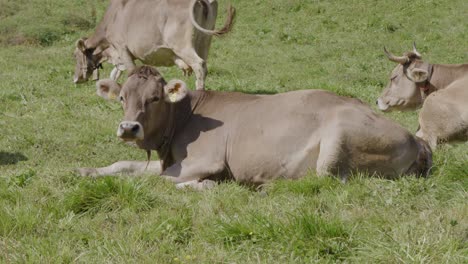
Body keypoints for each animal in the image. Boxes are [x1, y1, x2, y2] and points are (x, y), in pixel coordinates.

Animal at [72, 0, 234, 89]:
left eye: (75, 55)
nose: (75, 79)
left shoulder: (122, 48)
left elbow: (130, 72)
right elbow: (114, 74)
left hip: (182, 46)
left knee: (199, 65)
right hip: (205, 42)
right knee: (204, 66)